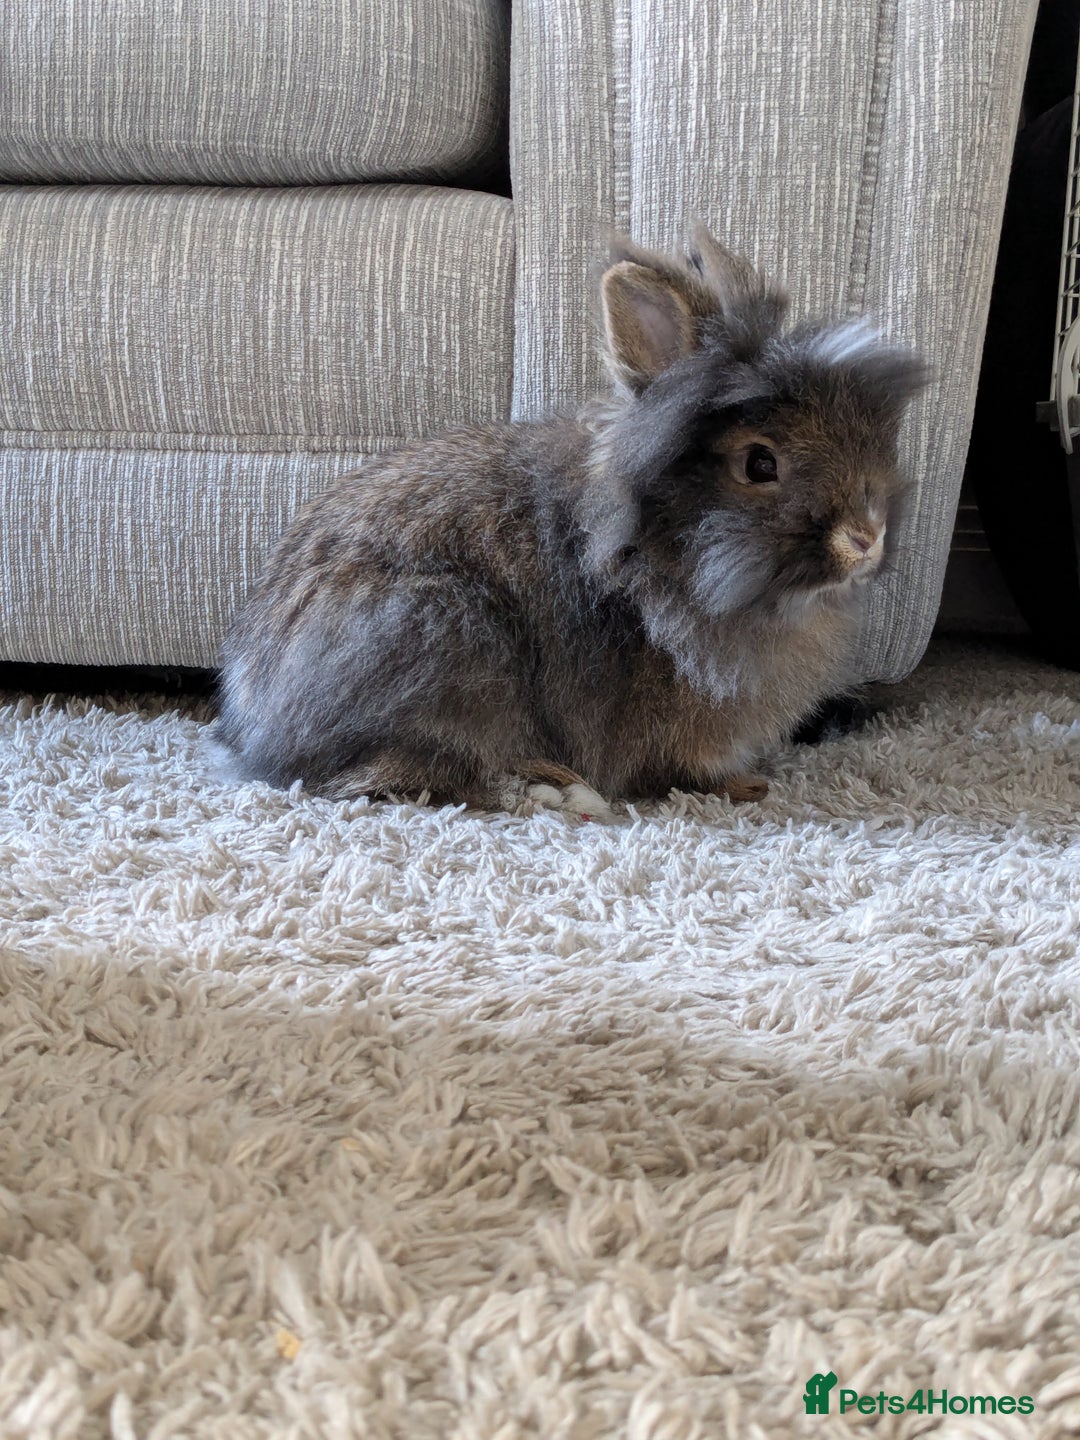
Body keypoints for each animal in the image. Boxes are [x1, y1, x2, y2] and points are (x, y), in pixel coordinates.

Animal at [210, 223, 929, 817]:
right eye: (759, 463)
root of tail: (254, 705)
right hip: (443, 639)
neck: (663, 557)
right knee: (403, 772)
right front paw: (745, 786)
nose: (867, 538)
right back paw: (556, 790)